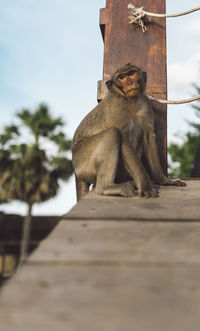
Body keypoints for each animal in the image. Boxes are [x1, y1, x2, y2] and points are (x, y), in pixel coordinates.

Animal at [72, 63, 186, 201]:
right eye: (122, 77)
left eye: (131, 73)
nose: (130, 82)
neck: (132, 102)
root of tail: (75, 170)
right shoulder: (118, 107)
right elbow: (124, 140)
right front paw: (146, 186)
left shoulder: (146, 104)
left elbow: (148, 138)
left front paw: (163, 180)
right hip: (83, 162)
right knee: (112, 133)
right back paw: (107, 187)